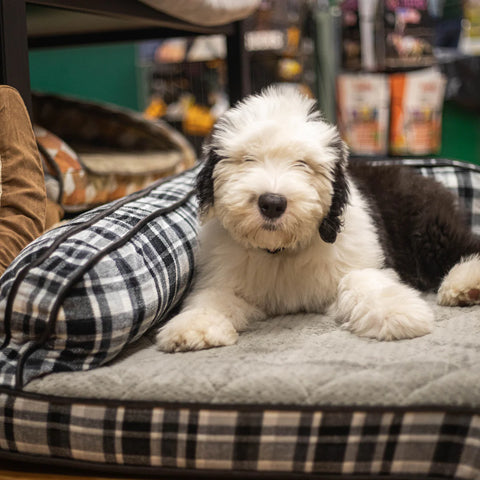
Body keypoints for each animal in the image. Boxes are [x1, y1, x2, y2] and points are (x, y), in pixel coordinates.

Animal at [157, 85, 480, 352]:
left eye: (303, 164)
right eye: (248, 159)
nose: (272, 203)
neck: (280, 252)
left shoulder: (360, 259)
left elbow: (361, 280)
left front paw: (397, 314)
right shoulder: (226, 277)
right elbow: (212, 297)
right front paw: (193, 327)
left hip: (428, 227)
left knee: (462, 246)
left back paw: (465, 284)